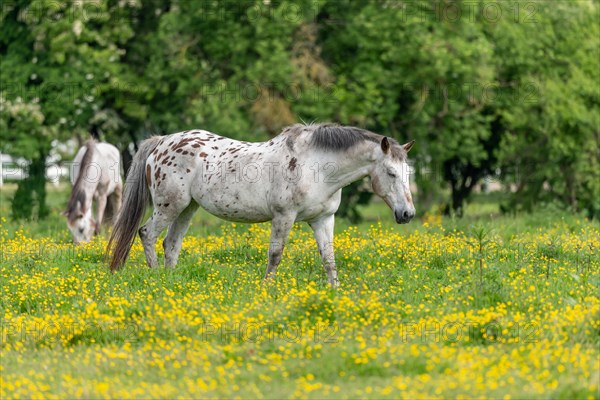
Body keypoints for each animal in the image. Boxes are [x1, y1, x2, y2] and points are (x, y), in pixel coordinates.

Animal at [108, 123, 414, 286]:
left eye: (408, 172)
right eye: (391, 173)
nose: (407, 214)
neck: (316, 167)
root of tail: (162, 142)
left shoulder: (323, 219)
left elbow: (329, 258)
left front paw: (335, 290)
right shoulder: (283, 216)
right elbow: (275, 255)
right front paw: (267, 289)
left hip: (187, 208)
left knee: (171, 244)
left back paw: (172, 282)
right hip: (170, 206)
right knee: (147, 234)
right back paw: (156, 277)